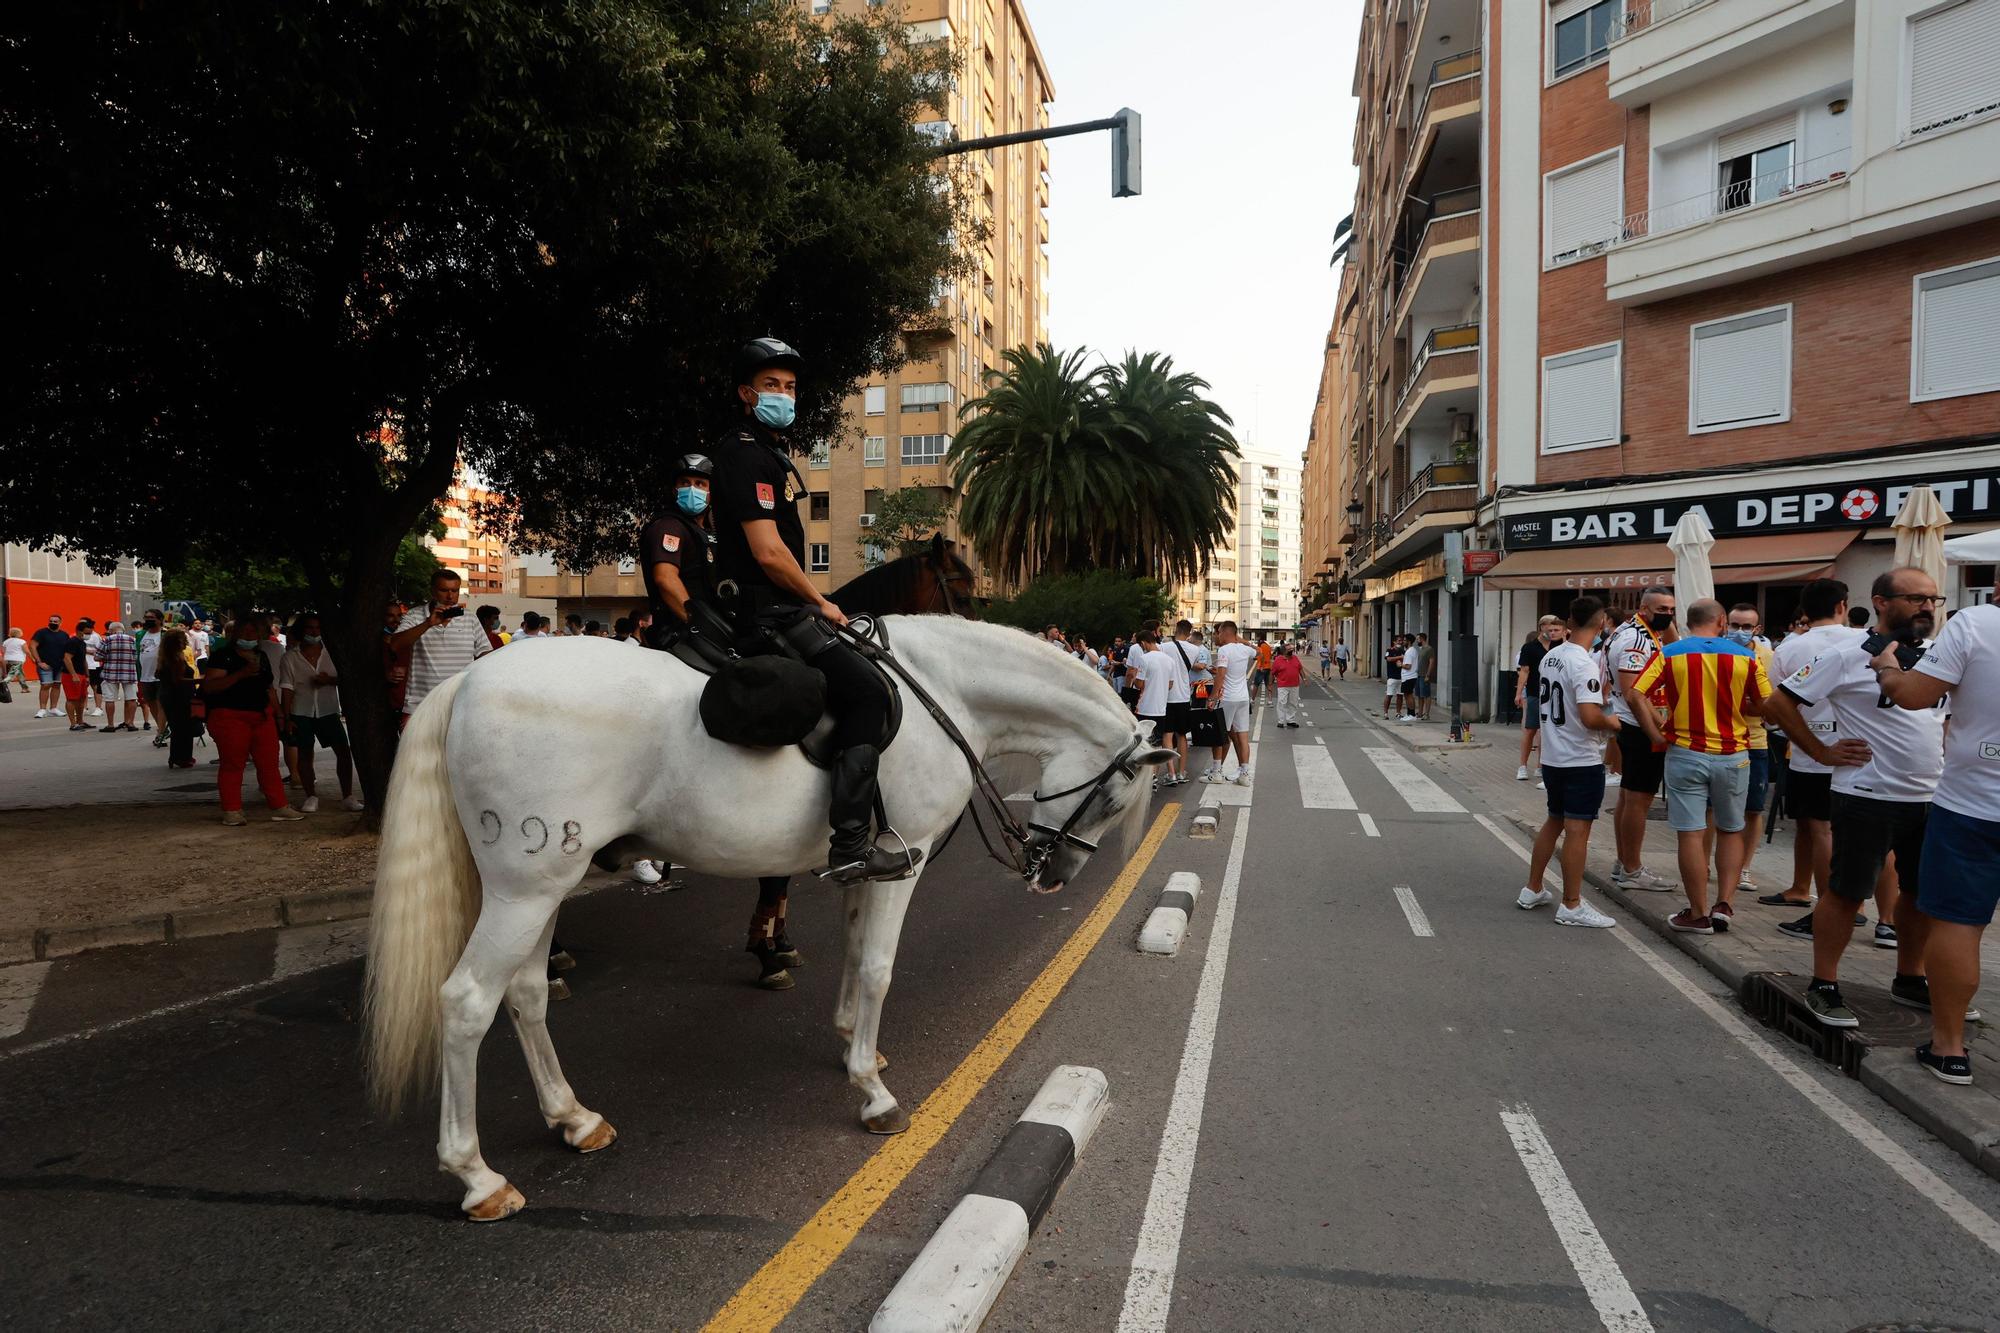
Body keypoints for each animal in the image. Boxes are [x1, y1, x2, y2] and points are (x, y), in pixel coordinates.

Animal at [366, 612, 1168, 1216]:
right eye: (1115, 798)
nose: (1053, 875)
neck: (944, 691)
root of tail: (470, 678)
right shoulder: (903, 865)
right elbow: (878, 969)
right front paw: (873, 1093)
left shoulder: (865, 864)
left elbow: (854, 952)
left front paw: (853, 1046)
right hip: (524, 890)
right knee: (466, 1002)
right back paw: (476, 1176)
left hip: (544, 889)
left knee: (527, 994)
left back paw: (573, 1117)